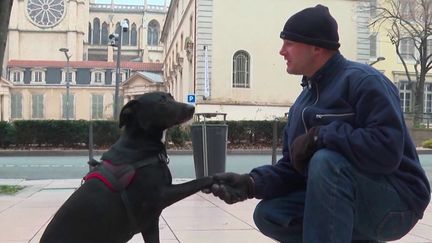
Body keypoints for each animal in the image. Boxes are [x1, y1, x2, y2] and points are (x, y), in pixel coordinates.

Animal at [41, 91, 213, 243]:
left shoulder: (150, 224)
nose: (192, 108)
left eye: (171, 97)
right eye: (161, 101)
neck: (140, 143)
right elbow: (198, 181)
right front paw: (217, 178)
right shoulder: (162, 195)